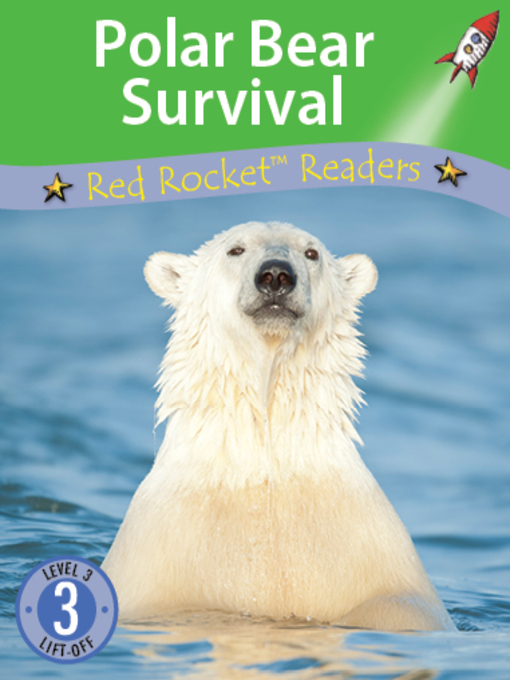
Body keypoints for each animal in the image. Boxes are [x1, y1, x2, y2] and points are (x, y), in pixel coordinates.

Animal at [102, 221, 455, 632]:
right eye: (235, 249)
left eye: (311, 253)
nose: (275, 275)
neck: (266, 471)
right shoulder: (162, 552)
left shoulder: (368, 547)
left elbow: (396, 606)